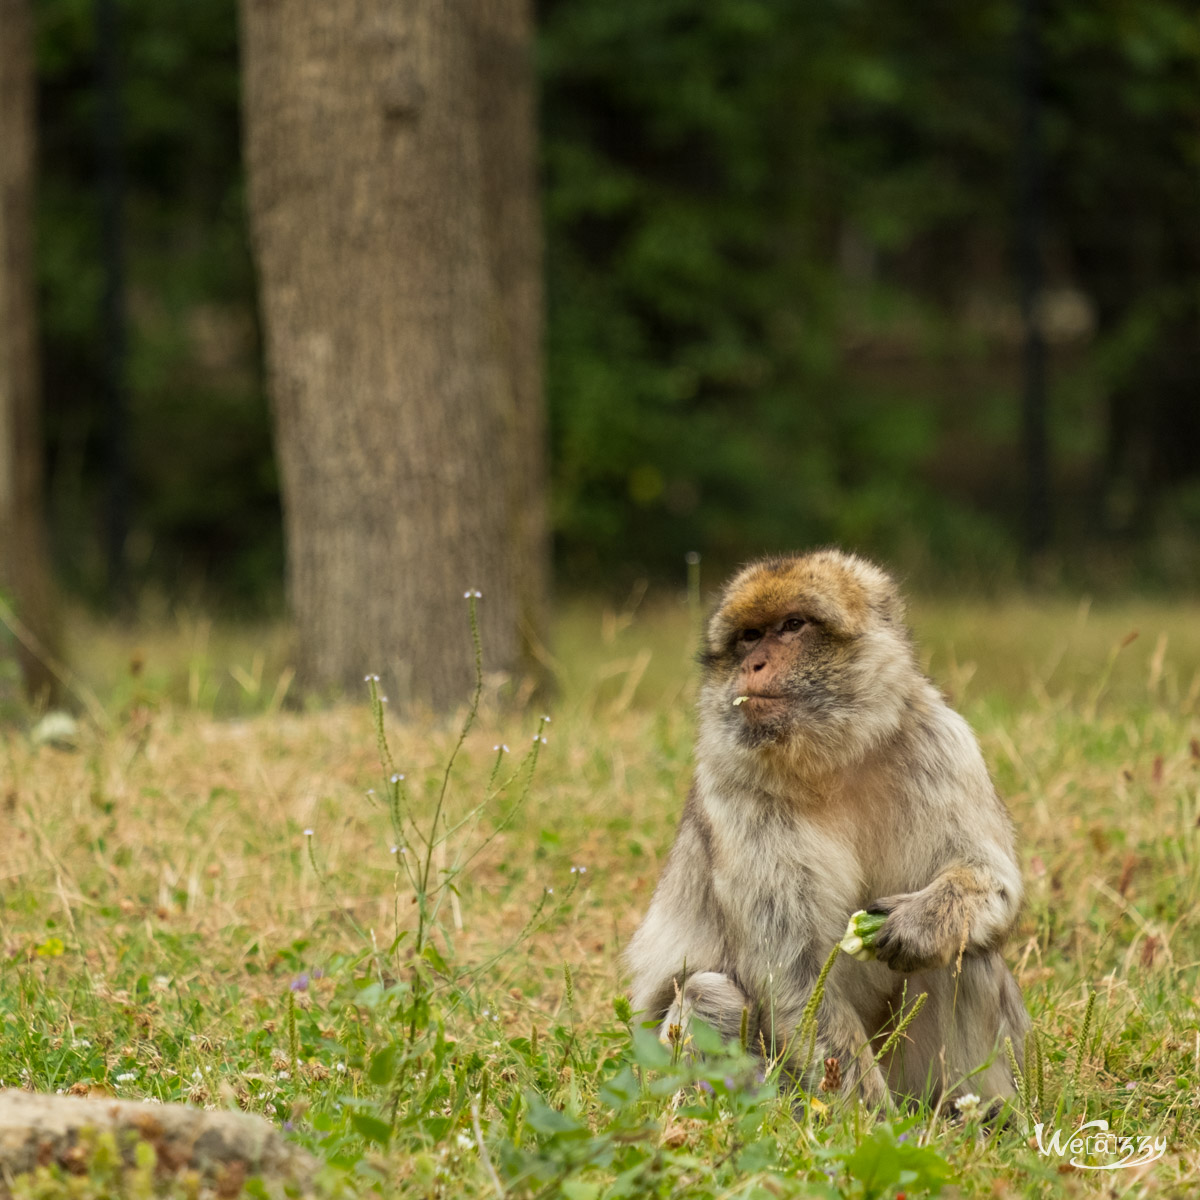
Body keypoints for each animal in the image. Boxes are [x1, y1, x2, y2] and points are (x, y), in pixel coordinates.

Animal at [624, 549, 1027, 1108]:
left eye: (793, 626)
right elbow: (796, 975)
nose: (753, 664)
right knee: (708, 995)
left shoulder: (943, 743)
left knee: (969, 954)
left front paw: (922, 922)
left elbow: (990, 876)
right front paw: (869, 1121)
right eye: (749, 636)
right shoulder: (735, 793)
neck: (833, 759)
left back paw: (976, 1113)